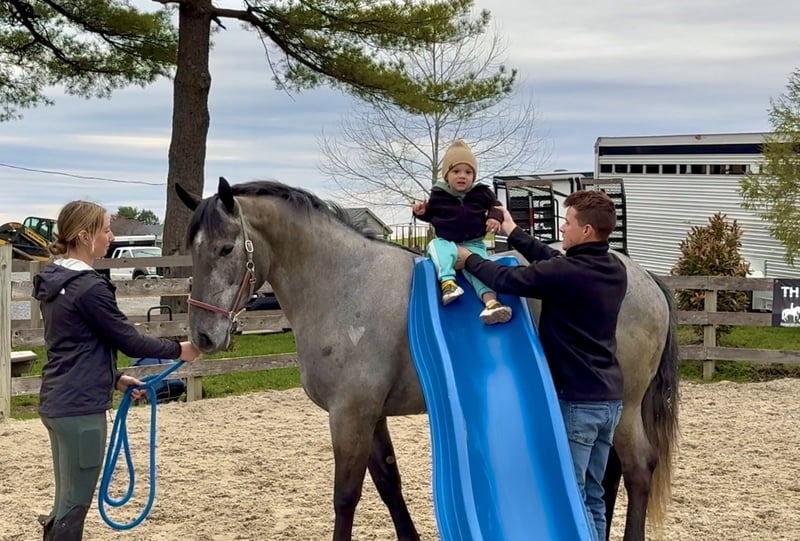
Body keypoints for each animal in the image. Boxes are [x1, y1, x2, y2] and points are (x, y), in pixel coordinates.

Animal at [176, 177, 679, 541]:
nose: (202, 335)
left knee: (637, 470)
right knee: (609, 475)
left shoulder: (349, 415)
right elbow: (388, 484)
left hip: (626, 408)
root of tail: (642, 275)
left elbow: (346, 496)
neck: (345, 283)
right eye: (191, 251)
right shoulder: (370, 415)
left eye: (225, 248)